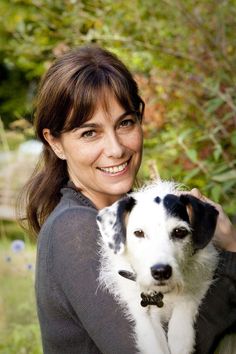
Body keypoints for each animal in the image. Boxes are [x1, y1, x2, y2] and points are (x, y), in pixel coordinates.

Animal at [96, 183, 219, 354]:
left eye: (179, 232)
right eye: (139, 233)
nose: (161, 272)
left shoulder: (203, 274)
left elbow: (186, 301)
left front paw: (180, 337)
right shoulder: (142, 314)